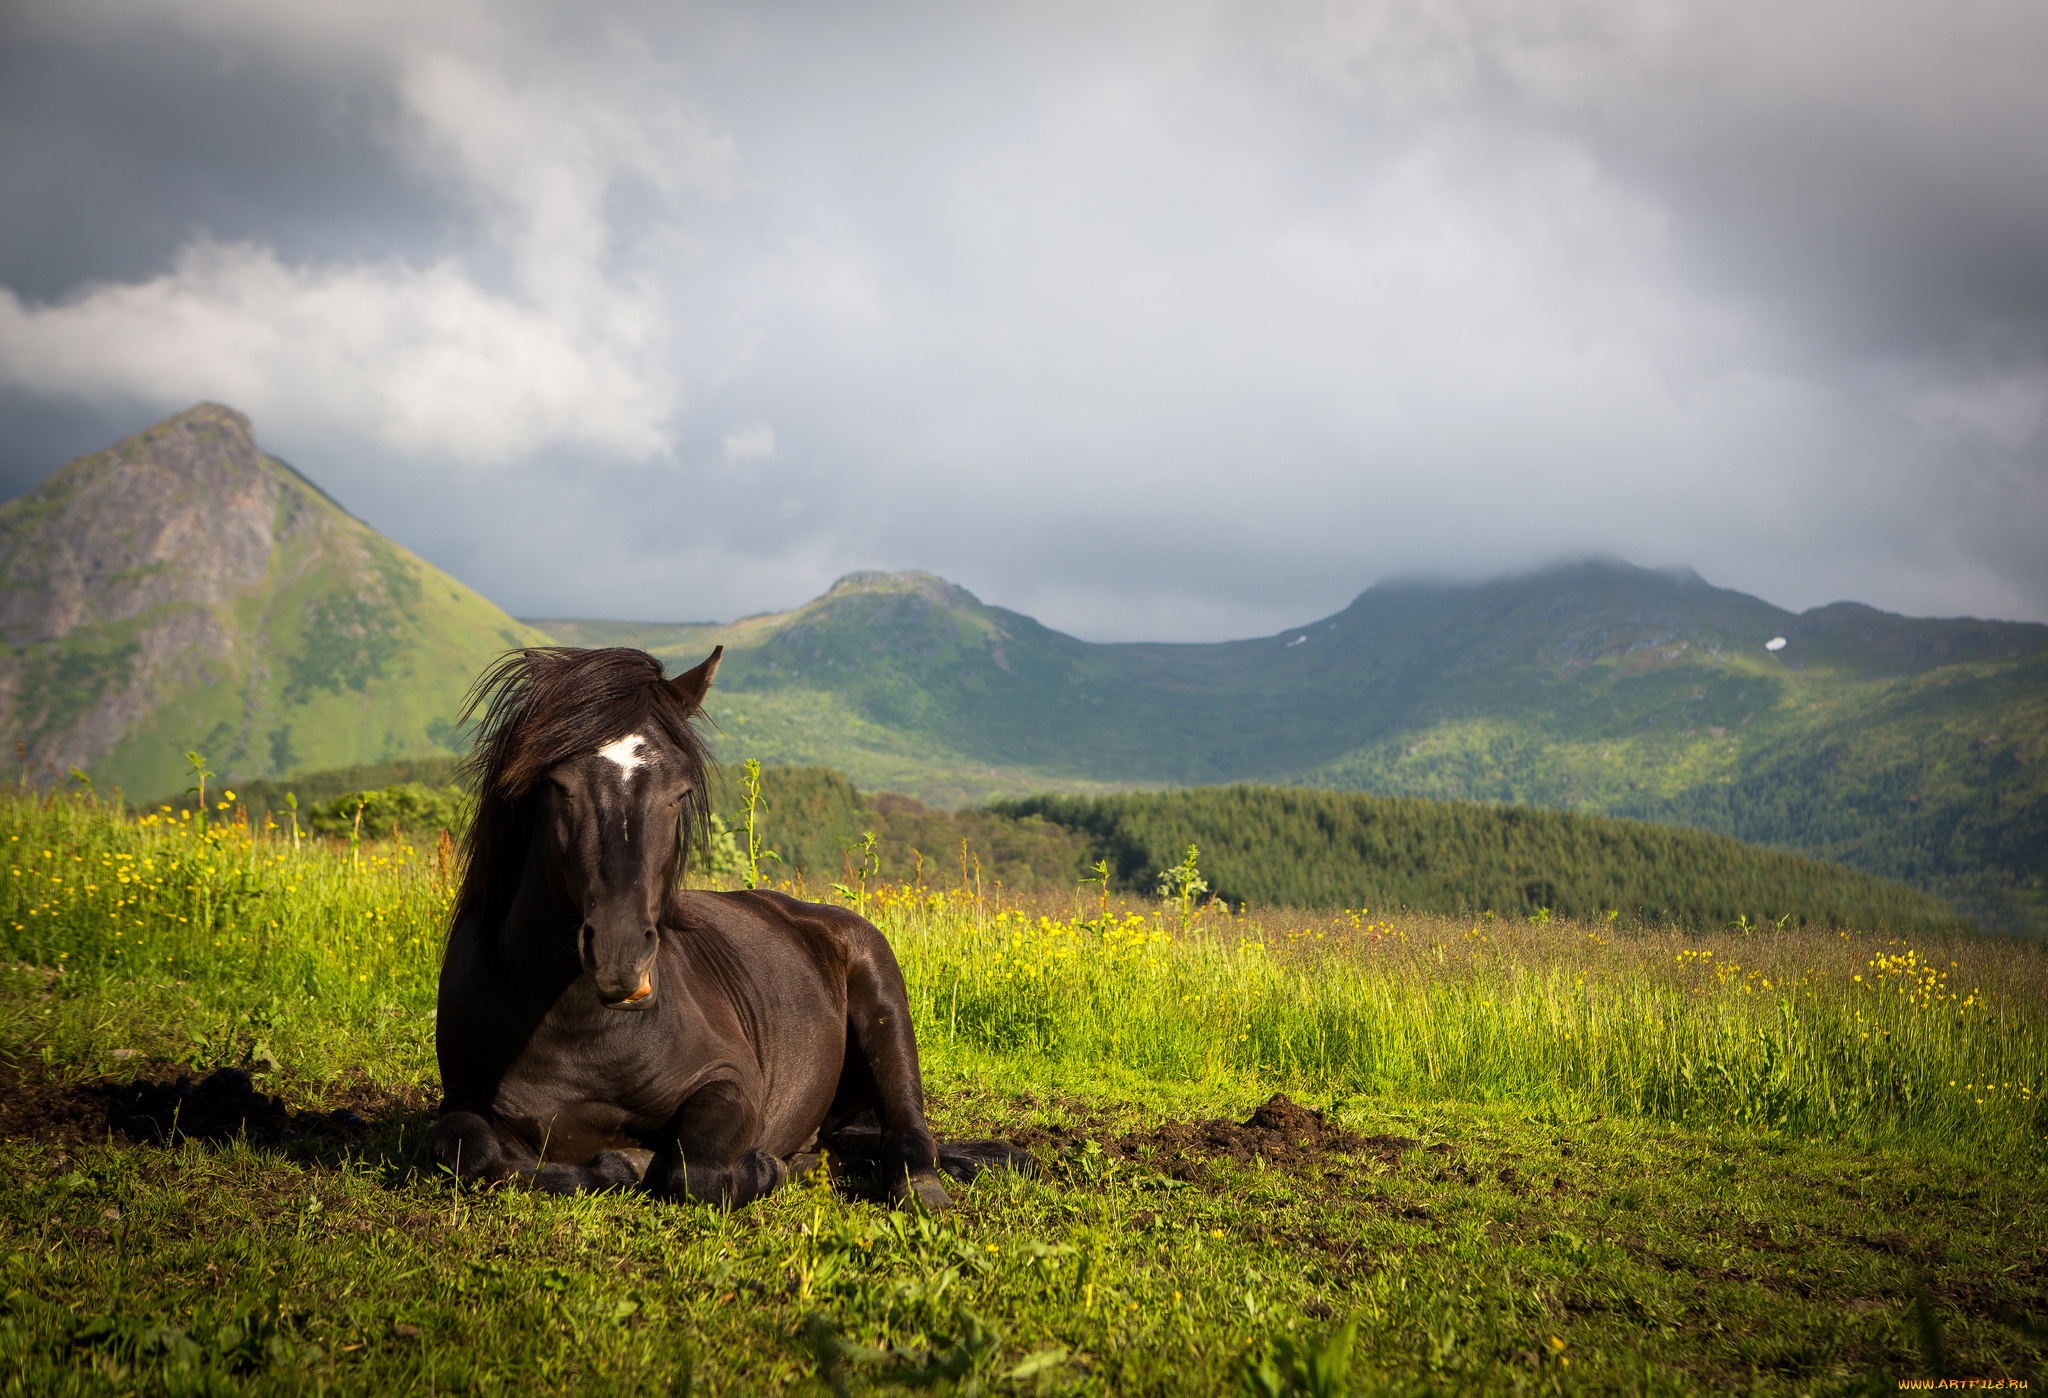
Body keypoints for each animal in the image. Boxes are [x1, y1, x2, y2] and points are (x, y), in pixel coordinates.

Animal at [434, 650, 1015, 1211]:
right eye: (558, 786)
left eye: (679, 792)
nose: (621, 955)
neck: (576, 1029)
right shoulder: (462, 1097)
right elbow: (472, 1154)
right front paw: (617, 1163)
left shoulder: (728, 1082)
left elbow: (696, 1171)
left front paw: (754, 1167)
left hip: (884, 1006)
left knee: (908, 1133)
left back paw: (910, 1185)